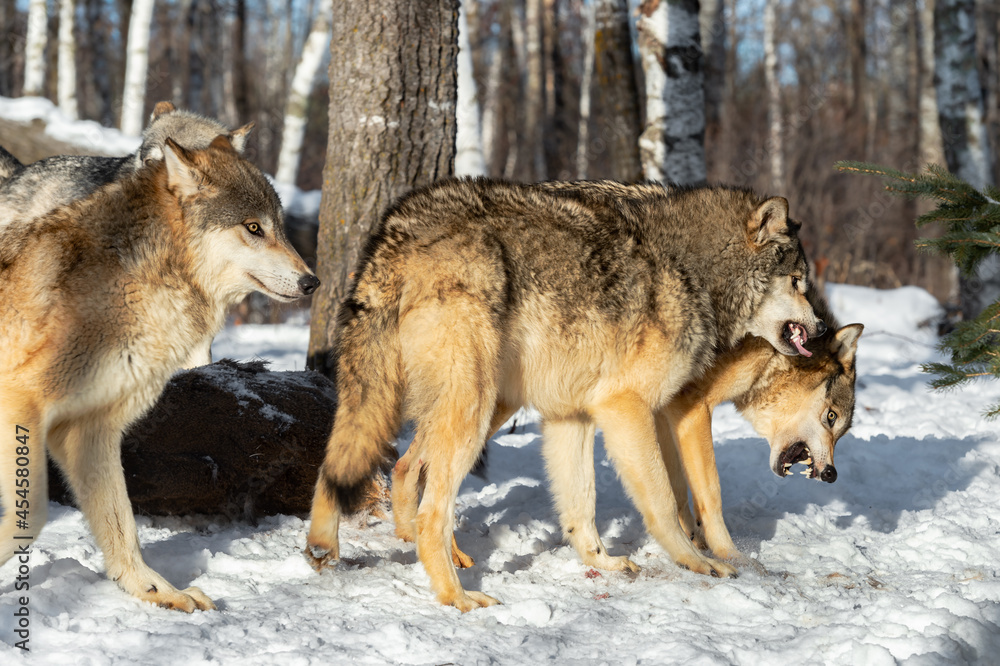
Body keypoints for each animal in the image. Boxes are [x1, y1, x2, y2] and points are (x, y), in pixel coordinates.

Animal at [0, 136, 318, 611]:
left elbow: (123, 526)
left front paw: (156, 590)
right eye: (253, 228)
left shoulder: (87, 430)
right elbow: (32, 515)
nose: (312, 282)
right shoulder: (20, 404)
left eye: (278, 226)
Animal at [305, 178, 825, 611]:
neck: (691, 270)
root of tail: (402, 228)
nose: (820, 327)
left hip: (444, 402)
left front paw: (603, 562)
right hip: (475, 409)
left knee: (361, 466)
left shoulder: (571, 417)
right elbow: (664, 502)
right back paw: (458, 596)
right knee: (433, 508)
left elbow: (581, 507)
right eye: (798, 281)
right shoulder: (627, 408)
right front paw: (699, 561)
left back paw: (325, 547)